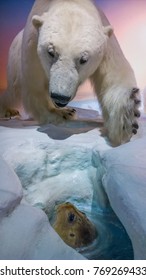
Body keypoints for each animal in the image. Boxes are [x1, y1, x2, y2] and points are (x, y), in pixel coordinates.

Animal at [0, 0, 140, 145]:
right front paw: (59, 113)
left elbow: (114, 73)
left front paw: (126, 121)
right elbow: (34, 85)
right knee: (14, 90)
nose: (60, 97)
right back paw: (9, 111)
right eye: (51, 52)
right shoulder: (33, 44)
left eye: (83, 59)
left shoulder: (106, 41)